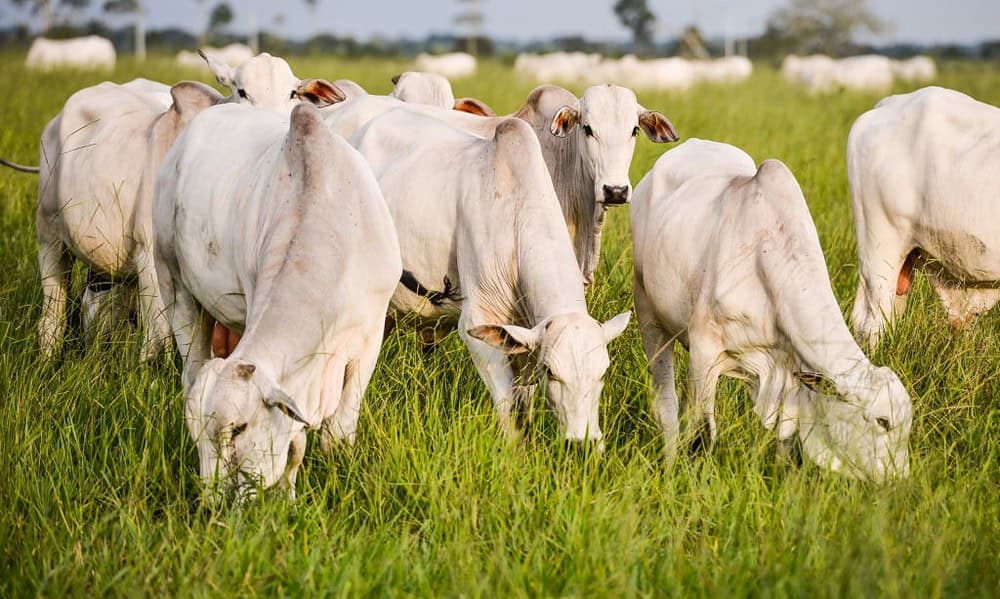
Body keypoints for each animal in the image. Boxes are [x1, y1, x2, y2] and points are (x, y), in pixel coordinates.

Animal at [153, 103, 400, 499]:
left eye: (239, 428)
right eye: (195, 437)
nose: (211, 502)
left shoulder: (370, 336)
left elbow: (338, 431)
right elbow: (295, 445)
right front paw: (288, 494)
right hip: (173, 284)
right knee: (189, 368)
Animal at [349, 110, 631, 445]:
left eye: (603, 372)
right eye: (552, 372)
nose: (582, 443)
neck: (516, 219)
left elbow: (525, 402)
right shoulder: (478, 322)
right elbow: (506, 404)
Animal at [631, 139, 912, 481]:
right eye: (883, 422)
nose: (899, 481)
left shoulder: (789, 367)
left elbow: (785, 437)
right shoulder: (704, 350)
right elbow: (702, 432)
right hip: (648, 313)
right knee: (668, 403)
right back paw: (670, 459)